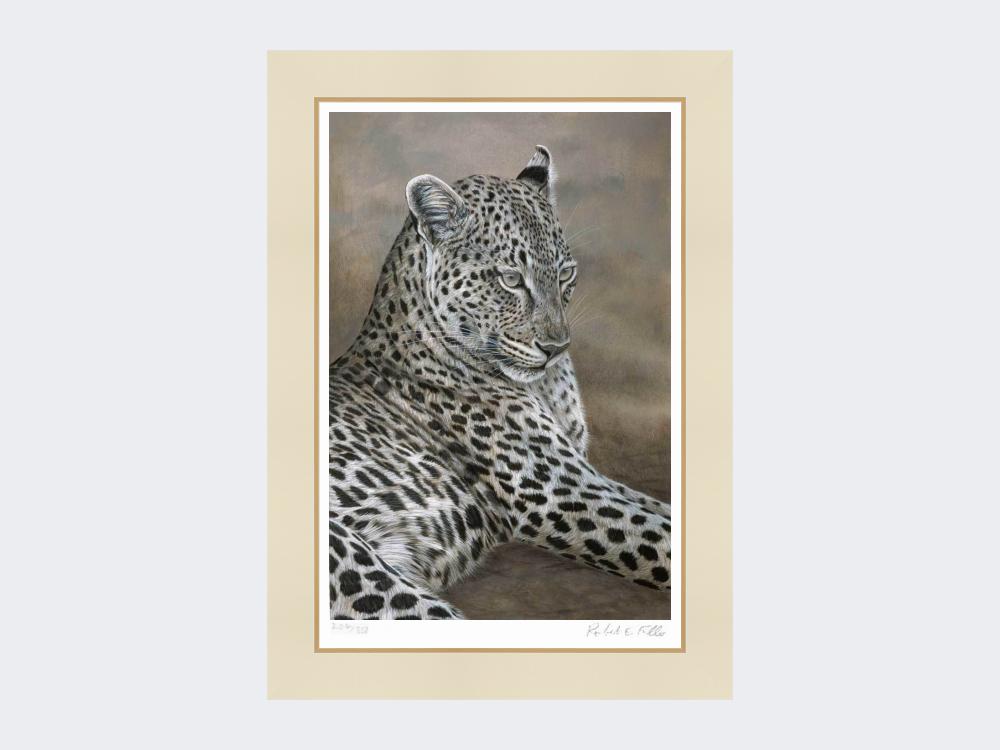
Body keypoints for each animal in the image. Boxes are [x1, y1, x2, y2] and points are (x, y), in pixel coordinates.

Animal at [329, 145, 671, 619]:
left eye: (565, 275)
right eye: (510, 280)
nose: (557, 347)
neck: (546, 385)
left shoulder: (582, 473)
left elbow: (660, 508)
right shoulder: (557, 491)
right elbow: (660, 537)